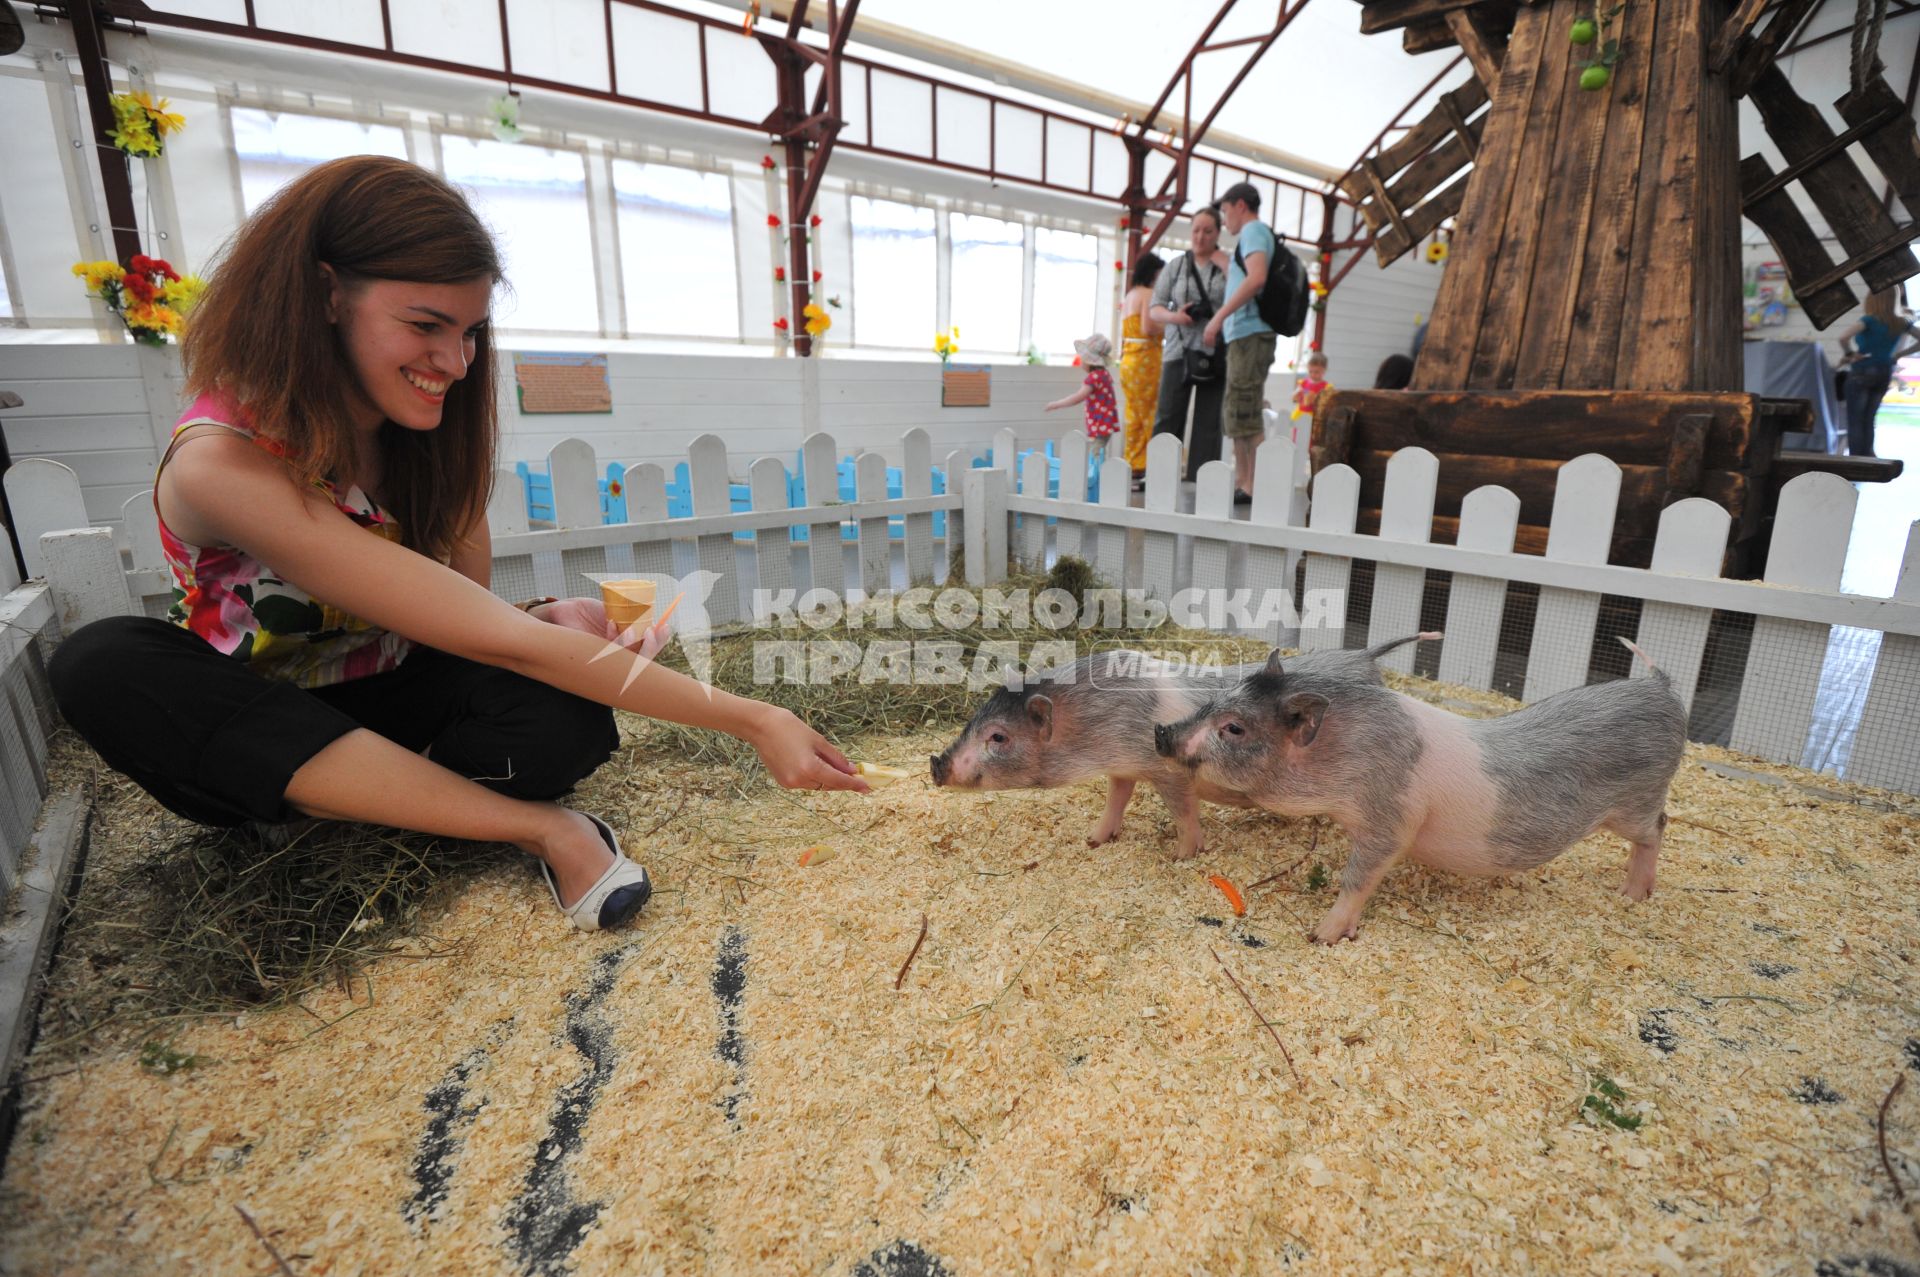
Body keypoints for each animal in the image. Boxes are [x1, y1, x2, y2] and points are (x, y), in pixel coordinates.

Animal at [933, 649, 1274, 856]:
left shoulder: (1170, 773)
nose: (936, 765)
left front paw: (1181, 857)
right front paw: (1093, 840)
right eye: (973, 719)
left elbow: (1185, 813)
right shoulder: (1122, 768)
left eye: (998, 736)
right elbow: (1116, 800)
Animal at [1152, 633, 1681, 940]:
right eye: (1217, 699)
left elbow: (1358, 876)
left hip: (1638, 802)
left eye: (1234, 728)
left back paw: (1632, 895)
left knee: (1659, 825)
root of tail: (1662, 690)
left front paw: (1322, 936)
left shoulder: (1393, 819)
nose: (1161, 732)